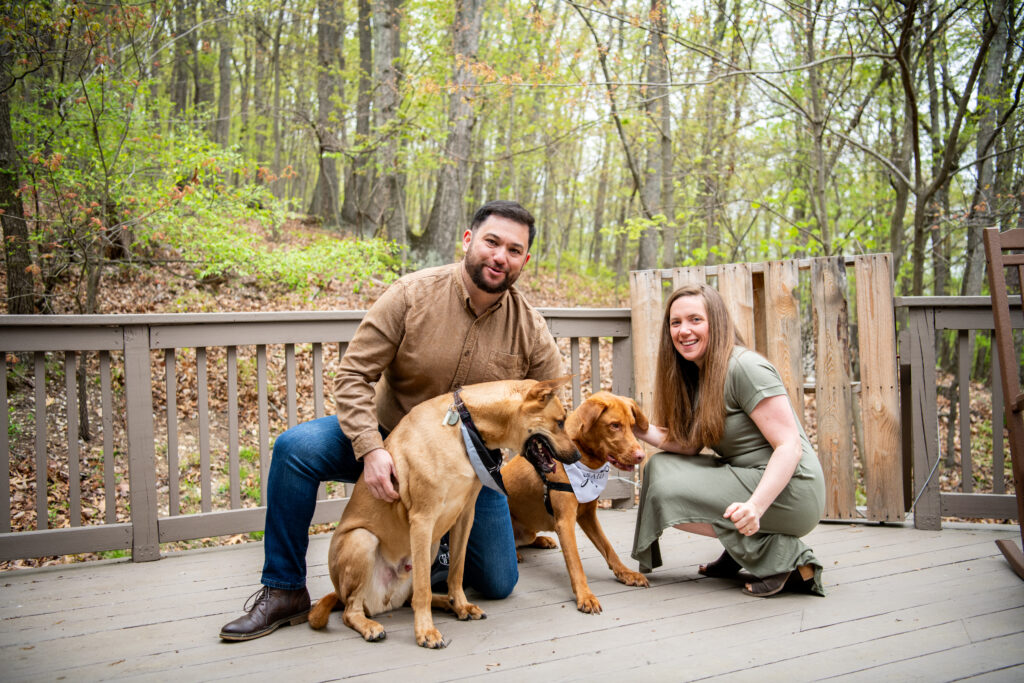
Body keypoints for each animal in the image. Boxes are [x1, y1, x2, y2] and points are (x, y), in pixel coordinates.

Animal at [303, 376, 581, 651]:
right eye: (559, 422)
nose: (578, 455)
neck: (465, 428)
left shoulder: (464, 515)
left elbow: (456, 571)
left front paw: (460, 604)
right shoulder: (423, 520)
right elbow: (424, 589)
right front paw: (425, 631)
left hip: (433, 545)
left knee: (408, 598)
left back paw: (446, 603)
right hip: (364, 539)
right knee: (352, 610)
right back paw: (370, 626)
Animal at [501, 389, 647, 614]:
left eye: (632, 425)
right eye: (614, 425)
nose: (641, 455)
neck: (584, 459)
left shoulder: (588, 515)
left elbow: (608, 548)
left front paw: (626, 573)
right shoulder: (565, 521)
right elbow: (575, 563)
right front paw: (585, 596)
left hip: (530, 530)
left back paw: (542, 540)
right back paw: (515, 553)